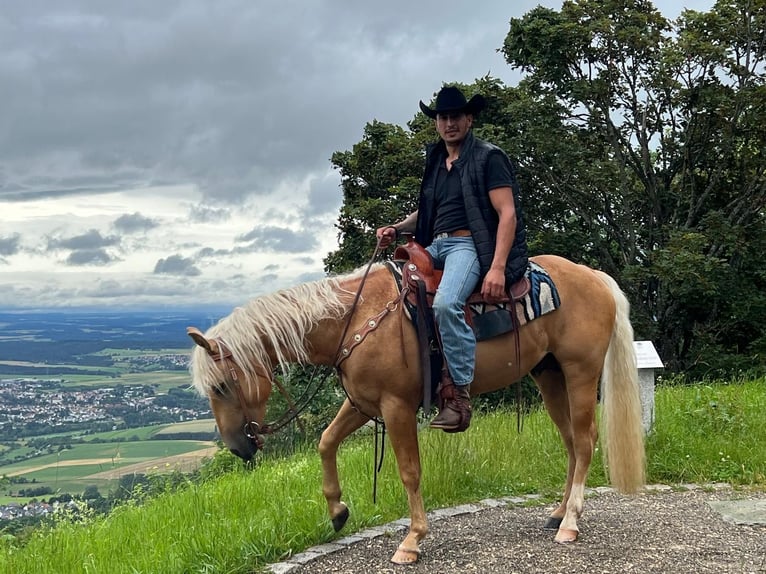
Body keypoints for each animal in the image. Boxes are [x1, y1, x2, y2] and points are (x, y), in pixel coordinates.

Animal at [189, 253, 644, 568]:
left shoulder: (396, 406)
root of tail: (593, 276)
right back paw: (558, 512)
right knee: (569, 441)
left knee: (584, 441)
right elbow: (326, 442)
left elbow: (409, 470)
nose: (238, 447)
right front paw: (337, 511)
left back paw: (570, 523)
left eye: (222, 385)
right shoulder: (362, 402)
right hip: (548, 375)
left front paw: (412, 540)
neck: (357, 317)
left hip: (580, 371)